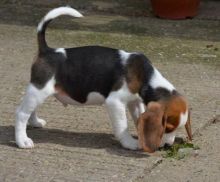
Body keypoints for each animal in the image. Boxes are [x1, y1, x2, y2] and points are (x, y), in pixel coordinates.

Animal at [15, 6, 191, 152]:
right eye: (167, 127)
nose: (168, 146)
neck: (146, 77)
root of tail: (47, 50)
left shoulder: (134, 101)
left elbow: (138, 118)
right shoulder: (115, 102)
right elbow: (122, 125)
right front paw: (130, 143)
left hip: (39, 91)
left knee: (31, 110)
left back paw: (35, 122)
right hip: (39, 90)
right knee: (21, 113)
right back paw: (22, 140)